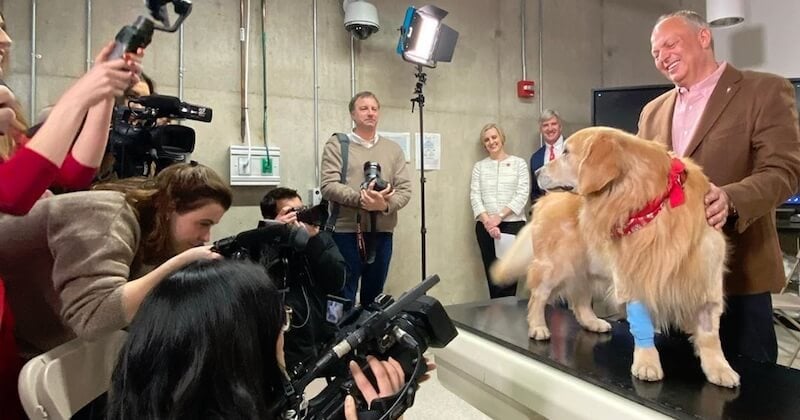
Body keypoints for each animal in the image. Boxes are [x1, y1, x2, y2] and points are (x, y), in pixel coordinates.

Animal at [490, 127, 740, 388]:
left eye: (566, 152)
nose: (537, 172)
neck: (650, 204)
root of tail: (545, 200)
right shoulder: (634, 277)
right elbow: (642, 327)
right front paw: (647, 363)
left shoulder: (705, 279)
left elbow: (710, 334)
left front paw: (719, 368)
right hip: (554, 266)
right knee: (538, 297)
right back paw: (538, 326)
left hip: (586, 270)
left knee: (579, 301)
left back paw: (592, 322)